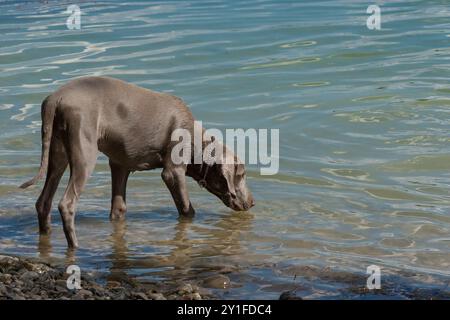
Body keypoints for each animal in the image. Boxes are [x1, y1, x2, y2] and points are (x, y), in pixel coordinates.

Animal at [21, 76, 255, 249]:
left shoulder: (119, 165)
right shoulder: (173, 172)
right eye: (242, 175)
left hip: (57, 151)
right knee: (66, 203)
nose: (252, 203)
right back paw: (76, 247)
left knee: (43, 201)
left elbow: (119, 208)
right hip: (84, 150)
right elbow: (187, 209)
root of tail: (55, 98)